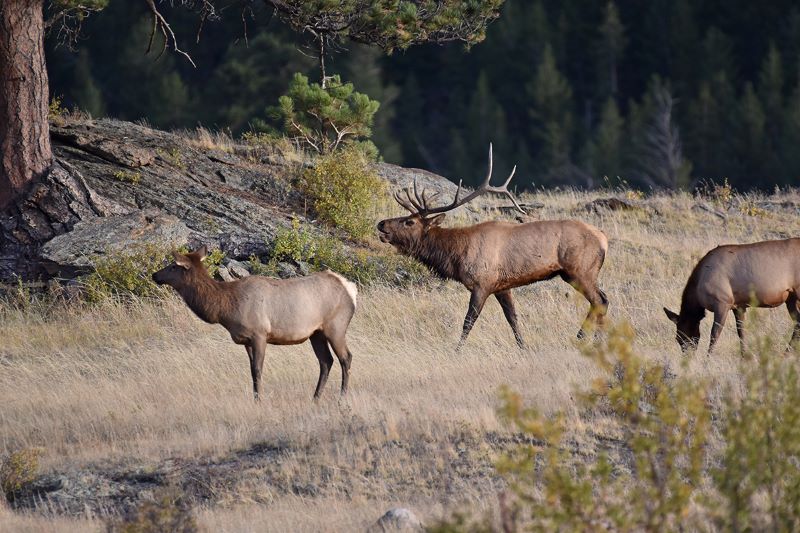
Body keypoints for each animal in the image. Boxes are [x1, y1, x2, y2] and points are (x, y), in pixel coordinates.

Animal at [152, 247, 358, 402]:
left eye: (173, 266)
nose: (155, 275)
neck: (225, 308)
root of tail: (351, 289)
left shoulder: (259, 334)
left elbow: (258, 370)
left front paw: (259, 400)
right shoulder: (246, 341)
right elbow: (251, 371)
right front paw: (255, 398)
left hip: (336, 327)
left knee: (346, 358)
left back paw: (342, 398)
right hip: (316, 333)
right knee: (326, 361)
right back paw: (315, 398)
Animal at [378, 143, 608, 348]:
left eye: (409, 222)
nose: (381, 224)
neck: (456, 255)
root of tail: (603, 239)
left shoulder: (482, 283)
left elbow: (468, 321)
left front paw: (457, 350)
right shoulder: (502, 286)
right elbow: (512, 318)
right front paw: (522, 347)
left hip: (580, 270)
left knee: (599, 301)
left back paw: (586, 338)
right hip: (576, 273)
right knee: (602, 299)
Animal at [664, 237, 800, 354]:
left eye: (682, 337)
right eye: (678, 339)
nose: (688, 356)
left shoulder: (722, 302)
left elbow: (714, 335)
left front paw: (708, 359)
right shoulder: (738, 306)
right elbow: (741, 332)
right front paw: (744, 356)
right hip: (791, 298)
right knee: (797, 323)